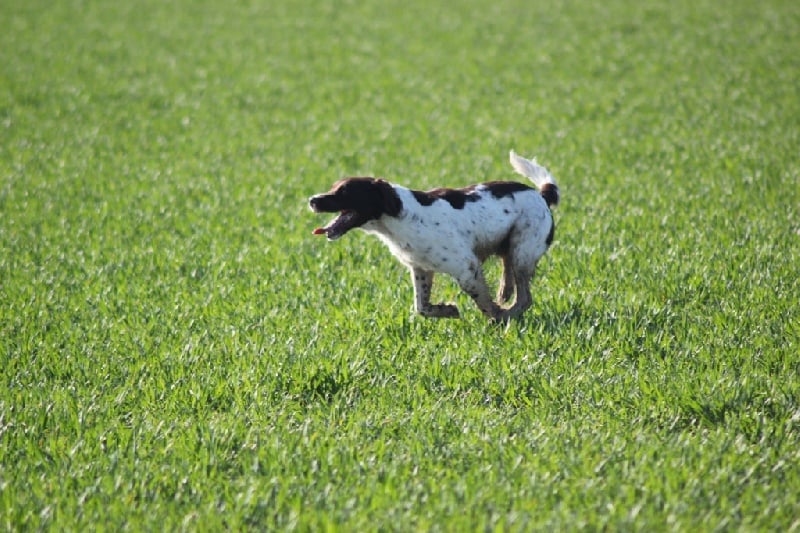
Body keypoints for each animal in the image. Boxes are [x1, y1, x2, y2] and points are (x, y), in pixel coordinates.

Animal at [309, 151, 559, 321]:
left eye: (344, 192)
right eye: (333, 187)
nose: (312, 200)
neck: (399, 216)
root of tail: (541, 195)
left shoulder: (466, 267)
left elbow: (483, 301)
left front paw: (497, 317)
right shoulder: (421, 268)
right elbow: (421, 307)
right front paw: (449, 310)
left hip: (523, 252)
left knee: (525, 298)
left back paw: (508, 312)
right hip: (512, 246)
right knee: (510, 274)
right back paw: (504, 294)